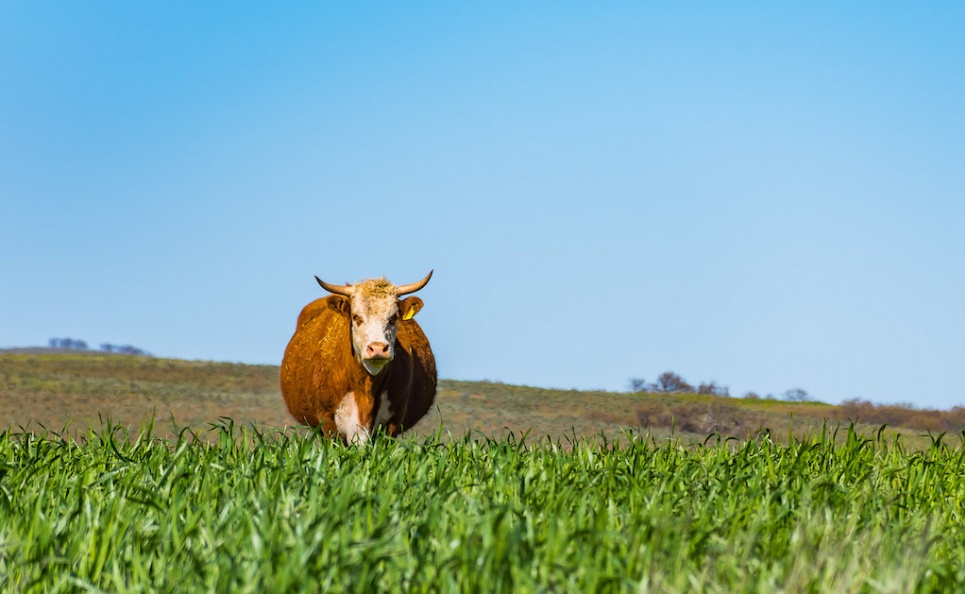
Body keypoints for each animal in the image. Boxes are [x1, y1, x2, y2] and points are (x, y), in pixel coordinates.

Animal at [278, 270, 436, 442]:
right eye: (356, 317)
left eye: (393, 318)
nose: (378, 348)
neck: (366, 386)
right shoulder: (327, 420)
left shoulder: (394, 421)